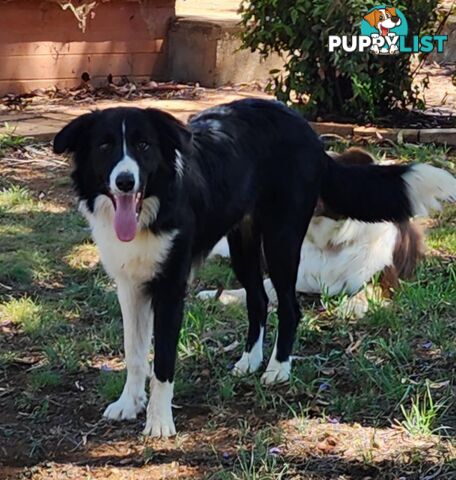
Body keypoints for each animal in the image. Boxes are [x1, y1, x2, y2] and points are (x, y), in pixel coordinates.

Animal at [198, 150, 440, 320]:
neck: (331, 244)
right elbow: (265, 286)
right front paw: (221, 295)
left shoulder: (386, 280)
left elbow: (368, 290)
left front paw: (351, 305)